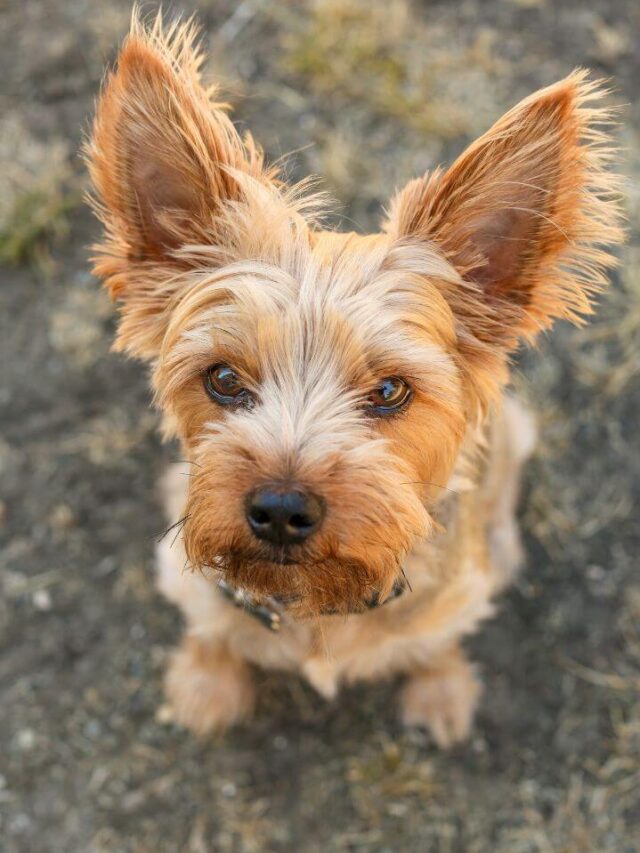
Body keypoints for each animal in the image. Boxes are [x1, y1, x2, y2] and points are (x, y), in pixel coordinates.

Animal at [87, 15, 624, 744]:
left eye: (391, 390)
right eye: (222, 378)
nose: (281, 509)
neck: (316, 604)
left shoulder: (452, 599)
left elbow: (436, 640)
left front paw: (440, 691)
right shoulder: (189, 571)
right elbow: (213, 629)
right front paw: (205, 685)